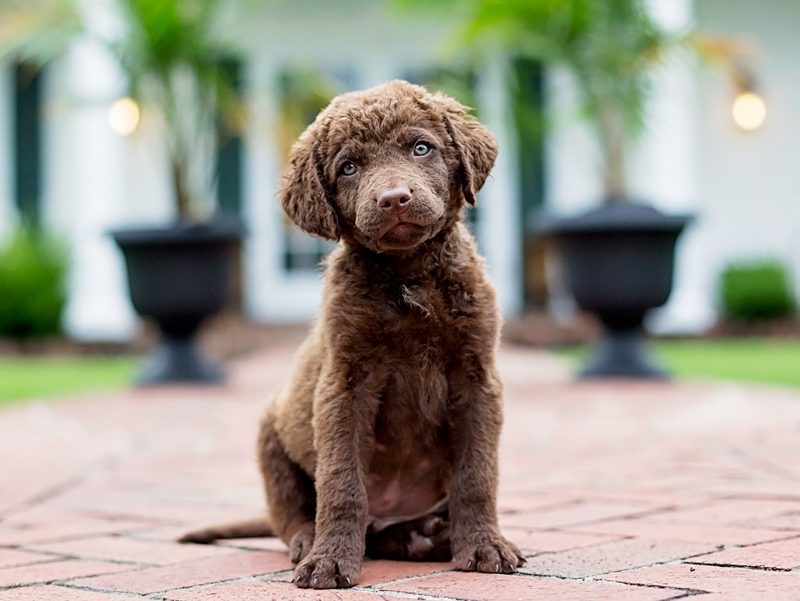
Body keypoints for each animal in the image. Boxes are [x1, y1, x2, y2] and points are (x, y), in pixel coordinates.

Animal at [184, 78, 528, 584]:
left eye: (421, 147)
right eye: (349, 167)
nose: (394, 198)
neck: (408, 276)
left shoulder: (477, 378)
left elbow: (477, 475)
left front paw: (485, 546)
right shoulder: (344, 383)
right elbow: (342, 482)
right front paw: (329, 561)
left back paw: (427, 536)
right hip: (271, 436)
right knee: (292, 514)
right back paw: (314, 541)